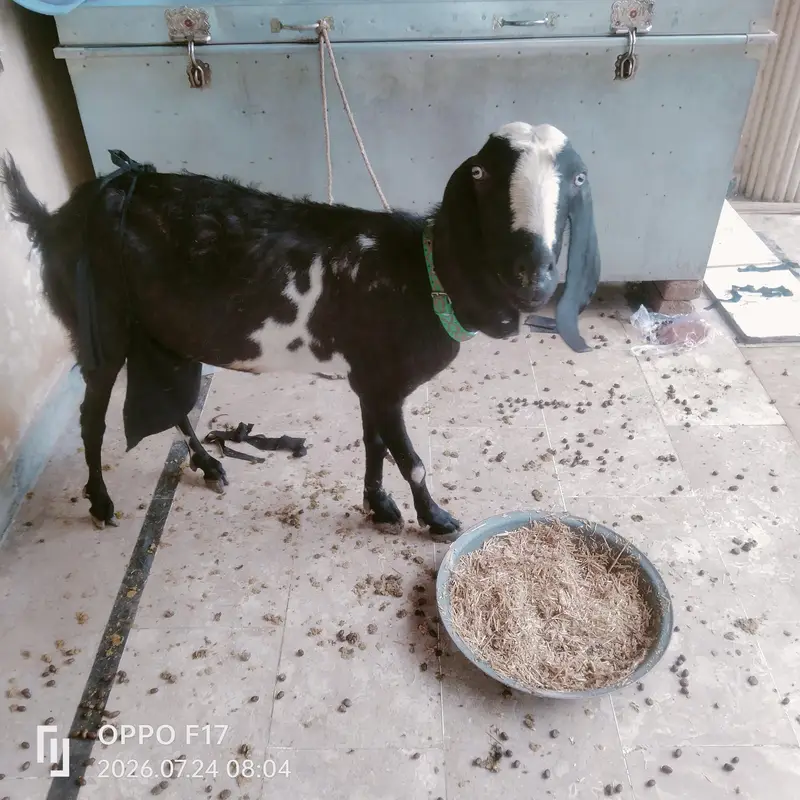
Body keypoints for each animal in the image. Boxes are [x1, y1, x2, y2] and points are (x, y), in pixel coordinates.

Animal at [1, 122, 600, 537]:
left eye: (577, 178)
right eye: (479, 174)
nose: (534, 276)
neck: (420, 274)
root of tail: (54, 220)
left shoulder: (370, 378)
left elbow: (374, 445)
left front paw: (379, 507)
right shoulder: (383, 382)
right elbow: (411, 459)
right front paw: (437, 520)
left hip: (163, 332)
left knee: (173, 402)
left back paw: (209, 464)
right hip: (98, 329)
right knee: (92, 418)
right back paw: (102, 503)